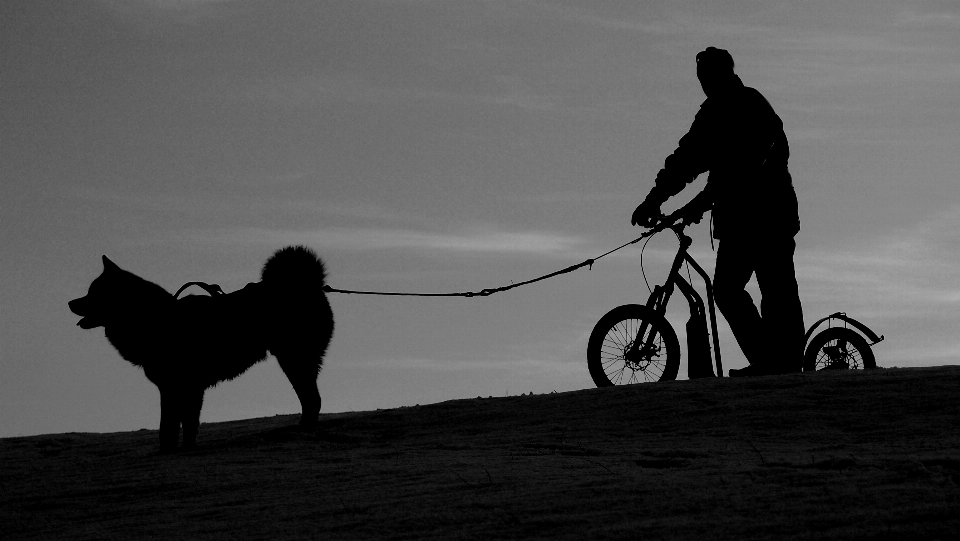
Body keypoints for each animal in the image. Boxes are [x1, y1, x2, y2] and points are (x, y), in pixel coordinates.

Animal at [68, 246, 334, 452]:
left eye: (94, 293)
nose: (70, 302)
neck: (155, 320)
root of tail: (305, 283)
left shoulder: (182, 386)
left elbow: (169, 427)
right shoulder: (180, 389)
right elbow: (184, 426)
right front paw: (184, 450)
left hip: (293, 358)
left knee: (312, 398)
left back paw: (303, 430)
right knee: (312, 398)